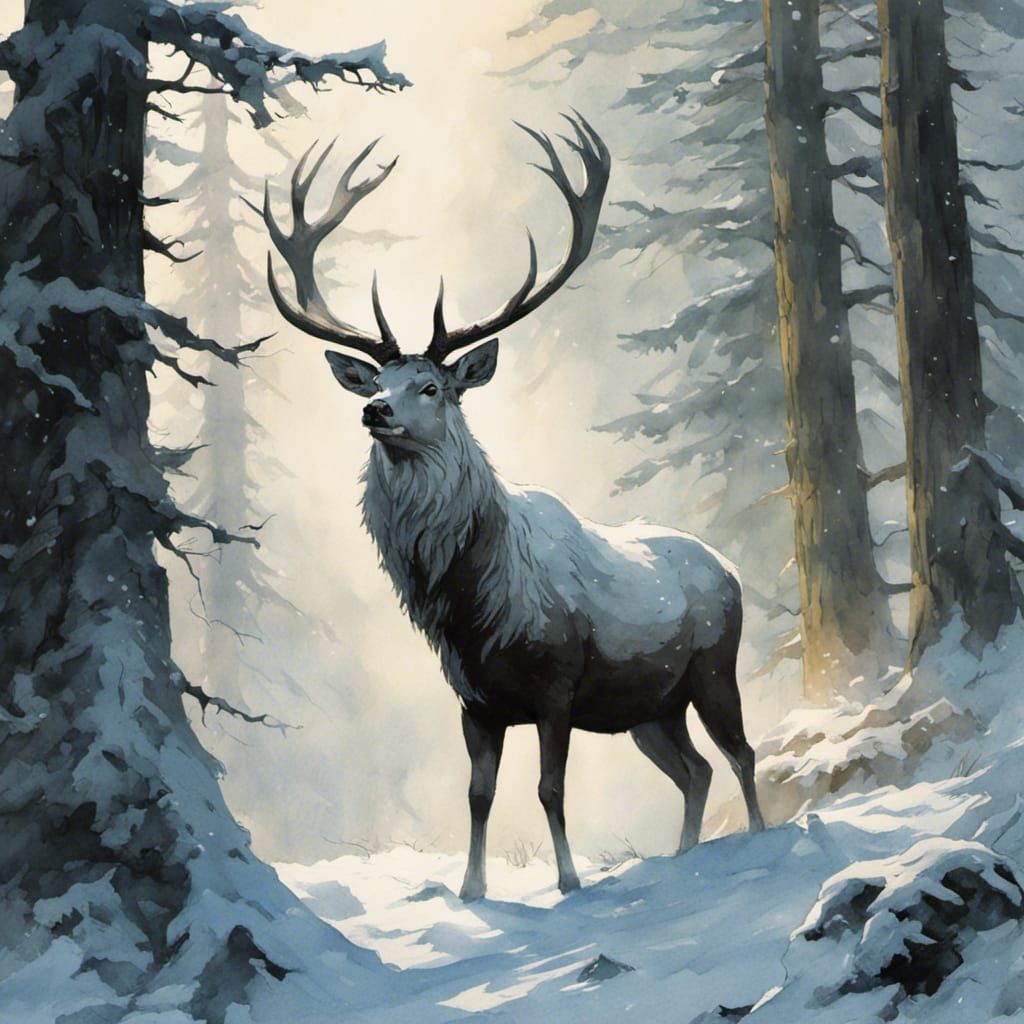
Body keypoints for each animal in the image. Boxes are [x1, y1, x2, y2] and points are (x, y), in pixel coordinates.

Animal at [261, 113, 765, 901]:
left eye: (432, 387)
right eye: (377, 379)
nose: (374, 410)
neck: (472, 602)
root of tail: (730, 567)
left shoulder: (557, 685)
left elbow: (549, 790)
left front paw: (568, 881)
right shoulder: (474, 701)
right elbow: (478, 795)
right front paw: (473, 889)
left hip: (715, 666)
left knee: (742, 754)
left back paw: (763, 838)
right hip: (650, 709)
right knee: (696, 770)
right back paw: (685, 856)